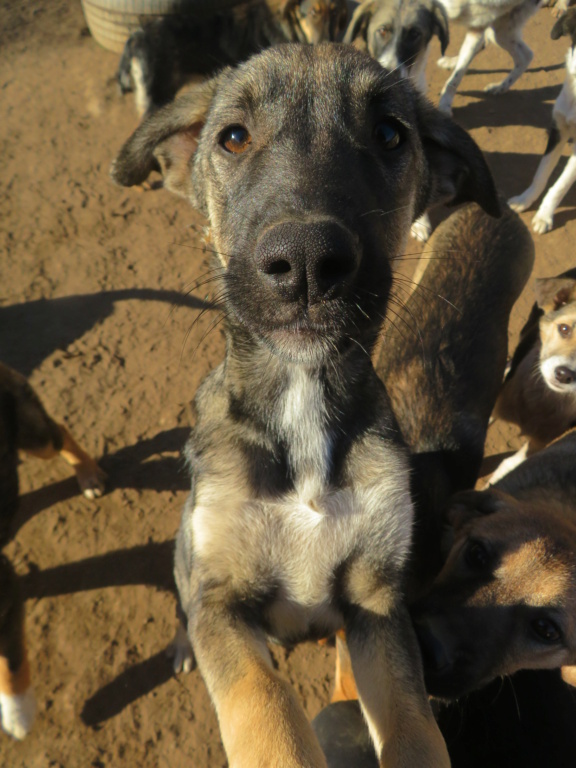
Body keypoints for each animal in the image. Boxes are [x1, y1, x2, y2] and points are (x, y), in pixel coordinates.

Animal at [0, 364, 106, 740]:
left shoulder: (5, 598)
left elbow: (11, 665)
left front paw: (18, 715)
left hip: (35, 433)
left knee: (60, 431)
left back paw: (88, 474)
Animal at [111, 43, 500, 768]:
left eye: (390, 135)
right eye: (233, 137)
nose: (308, 263)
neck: (302, 403)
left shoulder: (378, 602)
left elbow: (414, 725)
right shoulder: (222, 603)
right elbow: (263, 709)